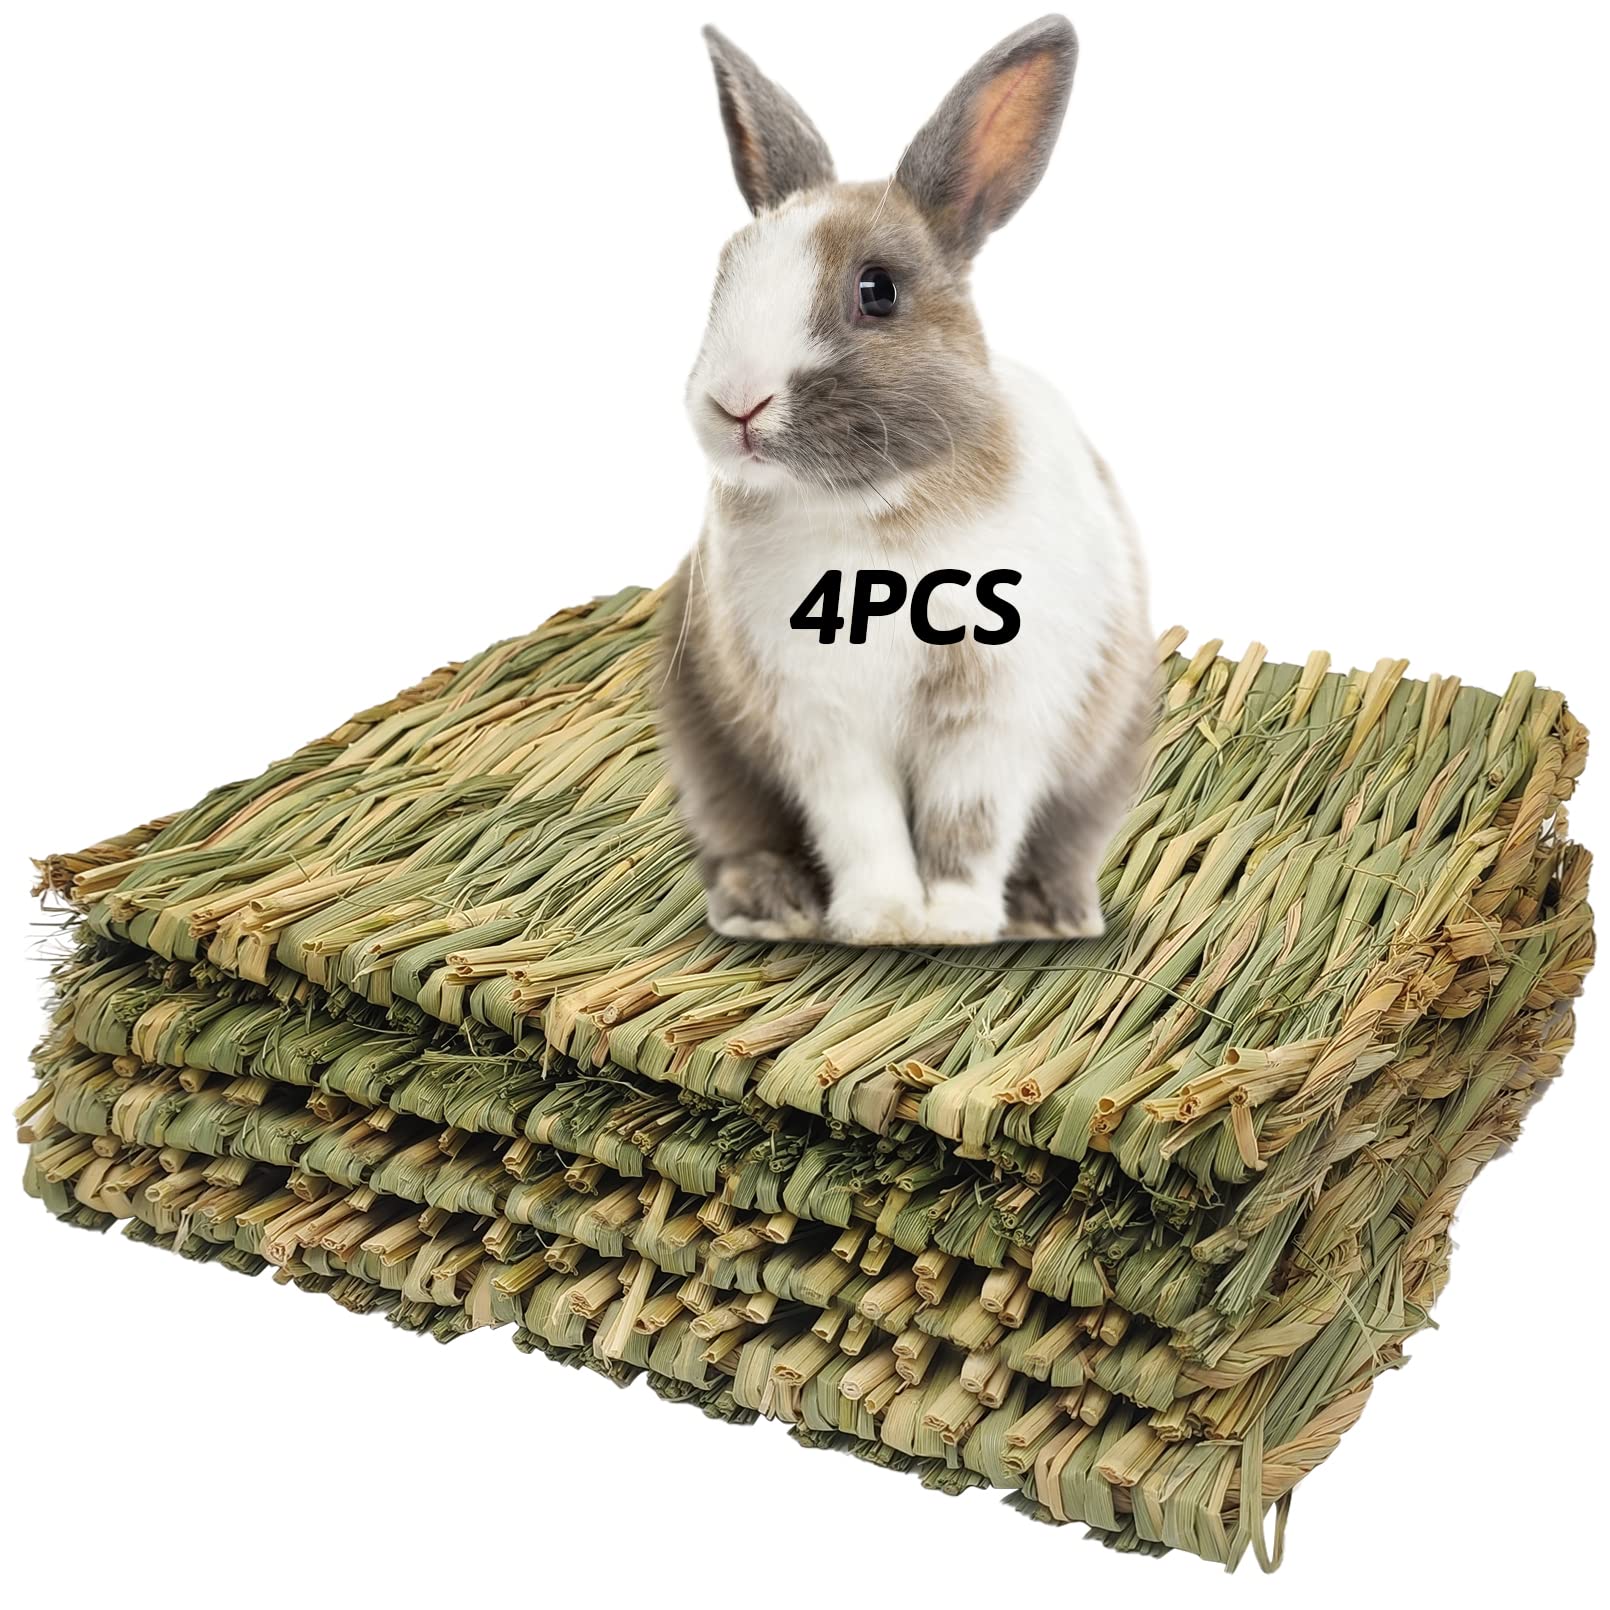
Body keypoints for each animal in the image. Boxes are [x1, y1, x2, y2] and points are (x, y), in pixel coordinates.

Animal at [660, 14, 1153, 947]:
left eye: (877, 290)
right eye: (724, 274)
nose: (735, 403)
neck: (876, 511)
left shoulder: (997, 707)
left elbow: (971, 821)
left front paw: (953, 923)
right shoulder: (819, 716)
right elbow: (862, 822)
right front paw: (883, 920)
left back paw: (1052, 915)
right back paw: (770, 908)